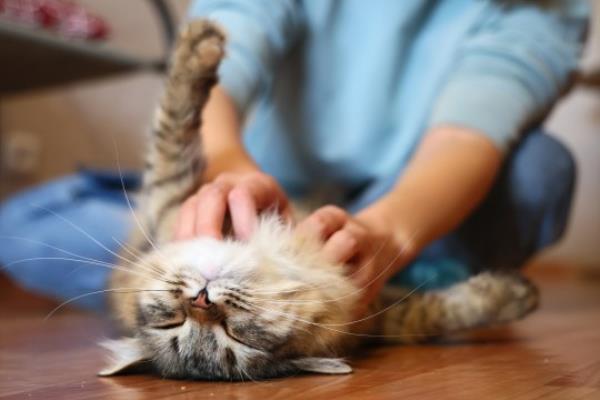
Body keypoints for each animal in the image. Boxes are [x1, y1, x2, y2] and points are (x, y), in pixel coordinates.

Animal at [99, 19, 540, 382]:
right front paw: (199, 44)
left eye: (234, 334)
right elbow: (172, 126)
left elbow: (436, 313)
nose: (200, 300)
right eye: (174, 325)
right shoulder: (168, 195)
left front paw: (512, 296)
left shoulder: (373, 304)